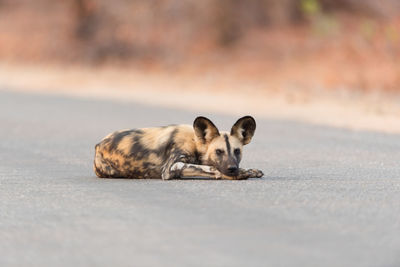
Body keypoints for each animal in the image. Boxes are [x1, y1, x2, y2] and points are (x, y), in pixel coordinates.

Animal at [93, 115, 262, 180]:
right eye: (218, 151)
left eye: (237, 151)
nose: (232, 168)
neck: (195, 142)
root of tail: (98, 145)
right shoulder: (170, 167)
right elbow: (211, 168)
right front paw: (239, 173)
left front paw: (250, 171)